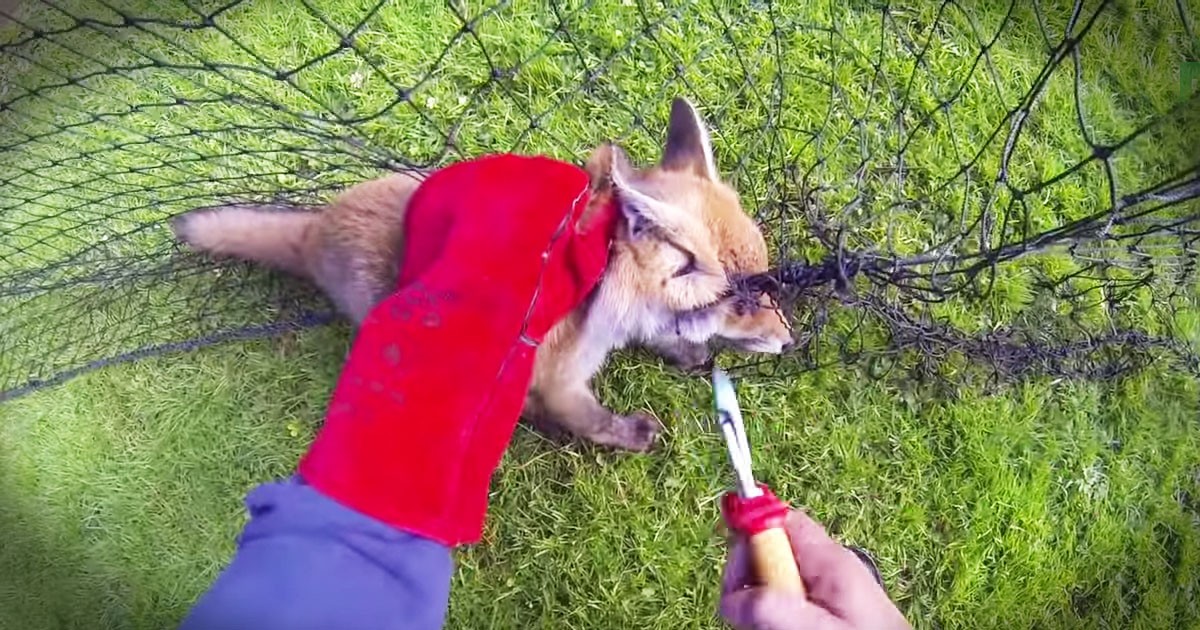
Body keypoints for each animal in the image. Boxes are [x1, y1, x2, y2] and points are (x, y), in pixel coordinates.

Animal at [170, 97, 793, 452]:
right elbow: (588, 418)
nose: (790, 341)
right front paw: (627, 436)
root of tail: (316, 226)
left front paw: (684, 350)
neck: (601, 292)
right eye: (741, 302)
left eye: (765, 283)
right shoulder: (560, 374)